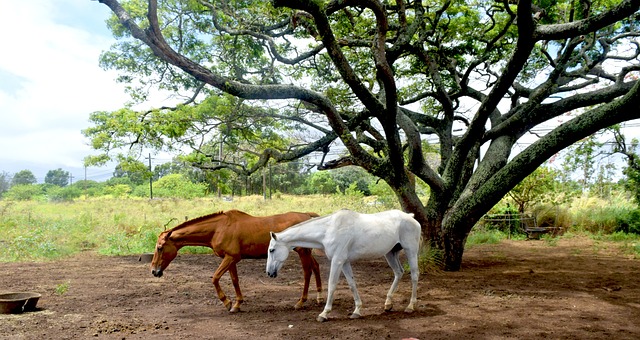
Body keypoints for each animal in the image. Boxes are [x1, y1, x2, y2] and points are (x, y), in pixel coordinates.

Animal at [149, 211, 320, 312]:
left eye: (160, 247)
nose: (154, 271)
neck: (218, 228)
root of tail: (307, 215)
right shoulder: (231, 259)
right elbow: (234, 280)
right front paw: (237, 304)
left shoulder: (230, 258)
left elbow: (215, 278)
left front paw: (226, 302)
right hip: (306, 252)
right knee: (316, 267)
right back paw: (319, 297)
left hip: (303, 252)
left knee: (307, 272)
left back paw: (301, 302)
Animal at [264, 209, 420, 322]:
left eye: (272, 250)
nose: (269, 273)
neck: (328, 230)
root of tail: (410, 217)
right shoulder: (344, 262)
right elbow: (352, 284)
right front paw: (357, 311)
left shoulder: (337, 261)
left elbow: (332, 285)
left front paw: (324, 313)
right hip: (390, 253)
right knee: (399, 272)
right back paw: (388, 304)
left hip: (411, 251)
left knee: (414, 275)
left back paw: (411, 306)